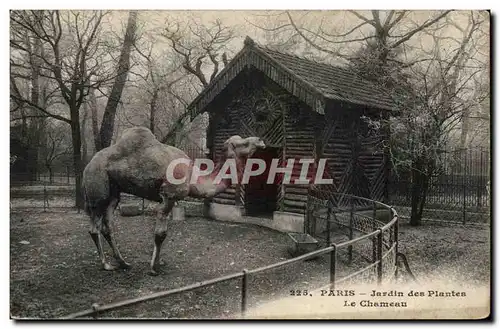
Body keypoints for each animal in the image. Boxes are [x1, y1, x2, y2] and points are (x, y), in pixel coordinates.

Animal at [82, 125, 266, 274]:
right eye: (242, 143)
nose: (260, 140)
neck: (193, 177)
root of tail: (88, 165)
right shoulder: (169, 196)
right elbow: (161, 233)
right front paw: (154, 268)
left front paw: (158, 263)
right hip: (98, 188)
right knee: (94, 227)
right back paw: (106, 265)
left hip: (114, 192)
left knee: (108, 226)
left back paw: (123, 263)